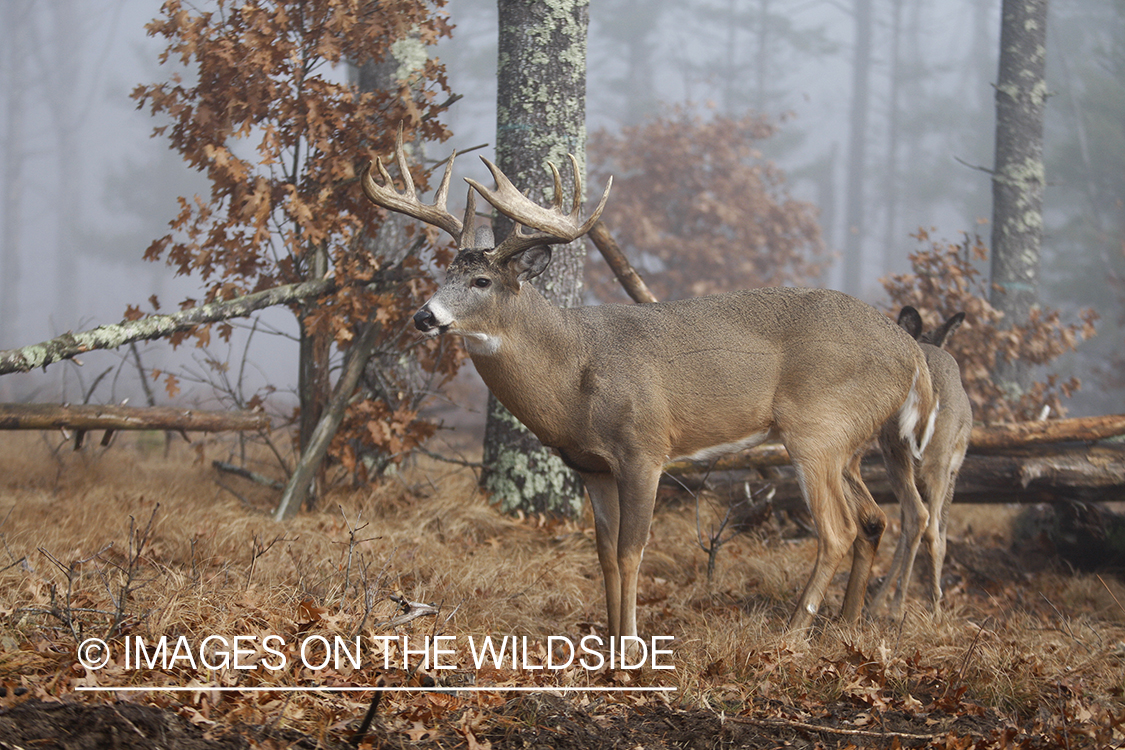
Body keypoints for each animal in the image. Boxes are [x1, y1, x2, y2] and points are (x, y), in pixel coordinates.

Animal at [362, 130, 940, 638]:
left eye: (481, 281)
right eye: (443, 274)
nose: (424, 316)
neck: (575, 375)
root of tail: (911, 351)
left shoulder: (644, 449)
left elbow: (632, 550)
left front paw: (632, 653)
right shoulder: (591, 466)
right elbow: (604, 554)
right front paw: (610, 645)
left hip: (817, 429)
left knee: (839, 529)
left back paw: (794, 634)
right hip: (848, 441)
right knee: (873, 519)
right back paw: (846, 627)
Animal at [873, 305, 972, 620]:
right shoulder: (953, 472)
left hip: (899, 453)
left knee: (920, 521)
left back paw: (898, 606)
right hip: (926, 457)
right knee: (927, 524)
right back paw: (915, 606)